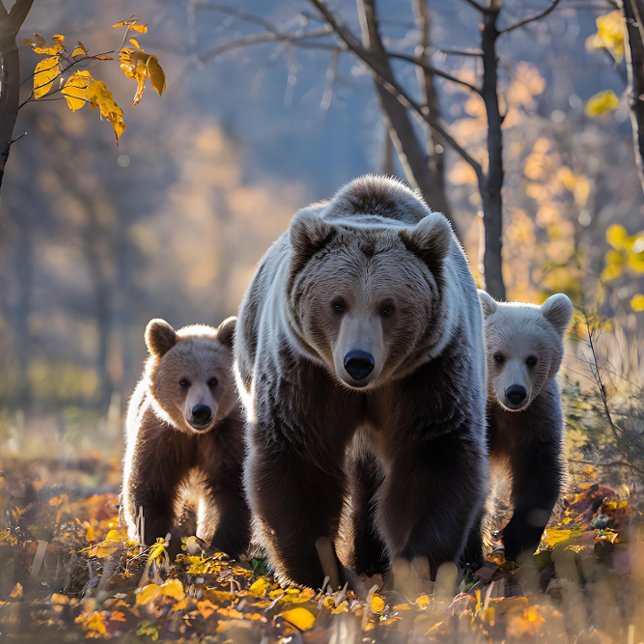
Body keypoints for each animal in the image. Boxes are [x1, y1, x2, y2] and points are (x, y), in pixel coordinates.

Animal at [121, 317, 251, 559]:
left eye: (213, 381)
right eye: (183, 381)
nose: (201, 411)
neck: (194, 435)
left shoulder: (225, 437)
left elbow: (231, 489)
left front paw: (218, 547)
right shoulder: (163, 436)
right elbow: (151, 487)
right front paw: (163, 545)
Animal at [234, 175, 488, 588]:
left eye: (388, 306)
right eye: (338, 303)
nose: (358, 362)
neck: (368, 391)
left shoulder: (430, 372)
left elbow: (433, 455)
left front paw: (418, 564)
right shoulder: (306, 371)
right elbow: (299, 456)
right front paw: (318, 569)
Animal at [476, 290, 573, 561]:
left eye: (532, 359)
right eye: (498, 356)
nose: (515, 393)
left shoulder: (535, 419)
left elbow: (539, 474)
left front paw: (516, 541)